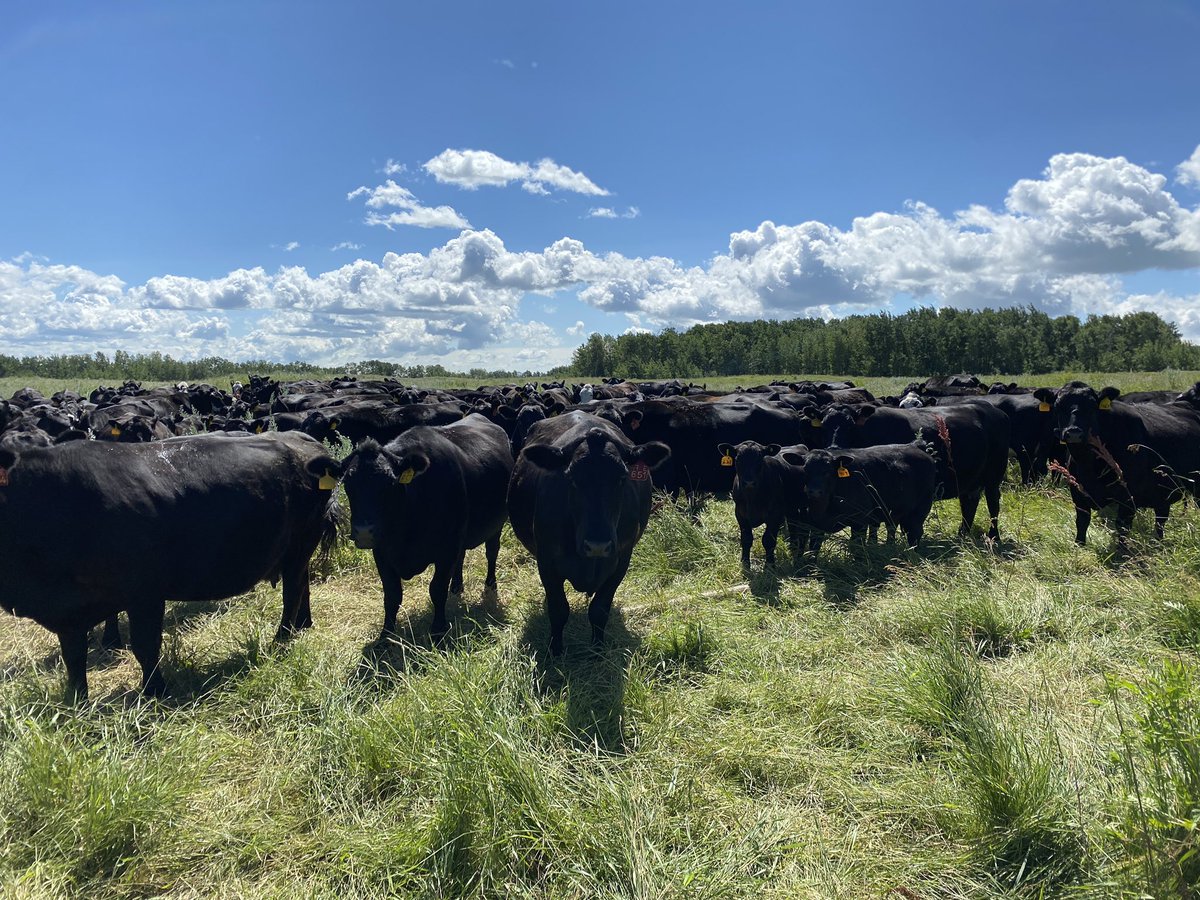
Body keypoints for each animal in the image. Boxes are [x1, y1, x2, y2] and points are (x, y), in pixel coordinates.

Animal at [0, 431, 342, 702]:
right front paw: (77, 702)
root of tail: (305, 442)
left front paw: (155, 692)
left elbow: (145, 645)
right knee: (302, 584)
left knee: (292, 591)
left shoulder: (144, 593)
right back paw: (303, 624)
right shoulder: (69, 609)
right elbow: (73, 656)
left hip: (299, 545)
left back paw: (282, 638)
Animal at [341, 415, 514, 643]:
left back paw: (490, 585)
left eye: (390, 483)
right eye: (347, 483)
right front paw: (385, 636)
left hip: (496, 525)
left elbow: (437, 590)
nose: (363, 532)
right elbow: (392, 595)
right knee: (462, 557)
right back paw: (456, 587)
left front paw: (438, 630)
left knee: (491, 553)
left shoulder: (446, 549)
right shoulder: (382, 552)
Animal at [508, 411, 670, 655]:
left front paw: (598, 649)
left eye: (622, 478)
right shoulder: (546, 561)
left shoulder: (621, 559)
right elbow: (558, 609)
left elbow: (599, 610)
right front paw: (555, 650)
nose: (597, 545)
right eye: (572, 479)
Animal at [1033, 382, 1200, 546]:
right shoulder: (1078, 493)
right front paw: (1078, 546)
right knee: (1161, 519)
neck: (1090, 463)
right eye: (1058, 406)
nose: (1074, 432)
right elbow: (1081, 522)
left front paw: (1122, 551)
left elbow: (1122, 526)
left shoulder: (1128, 497)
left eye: (1092, 406)